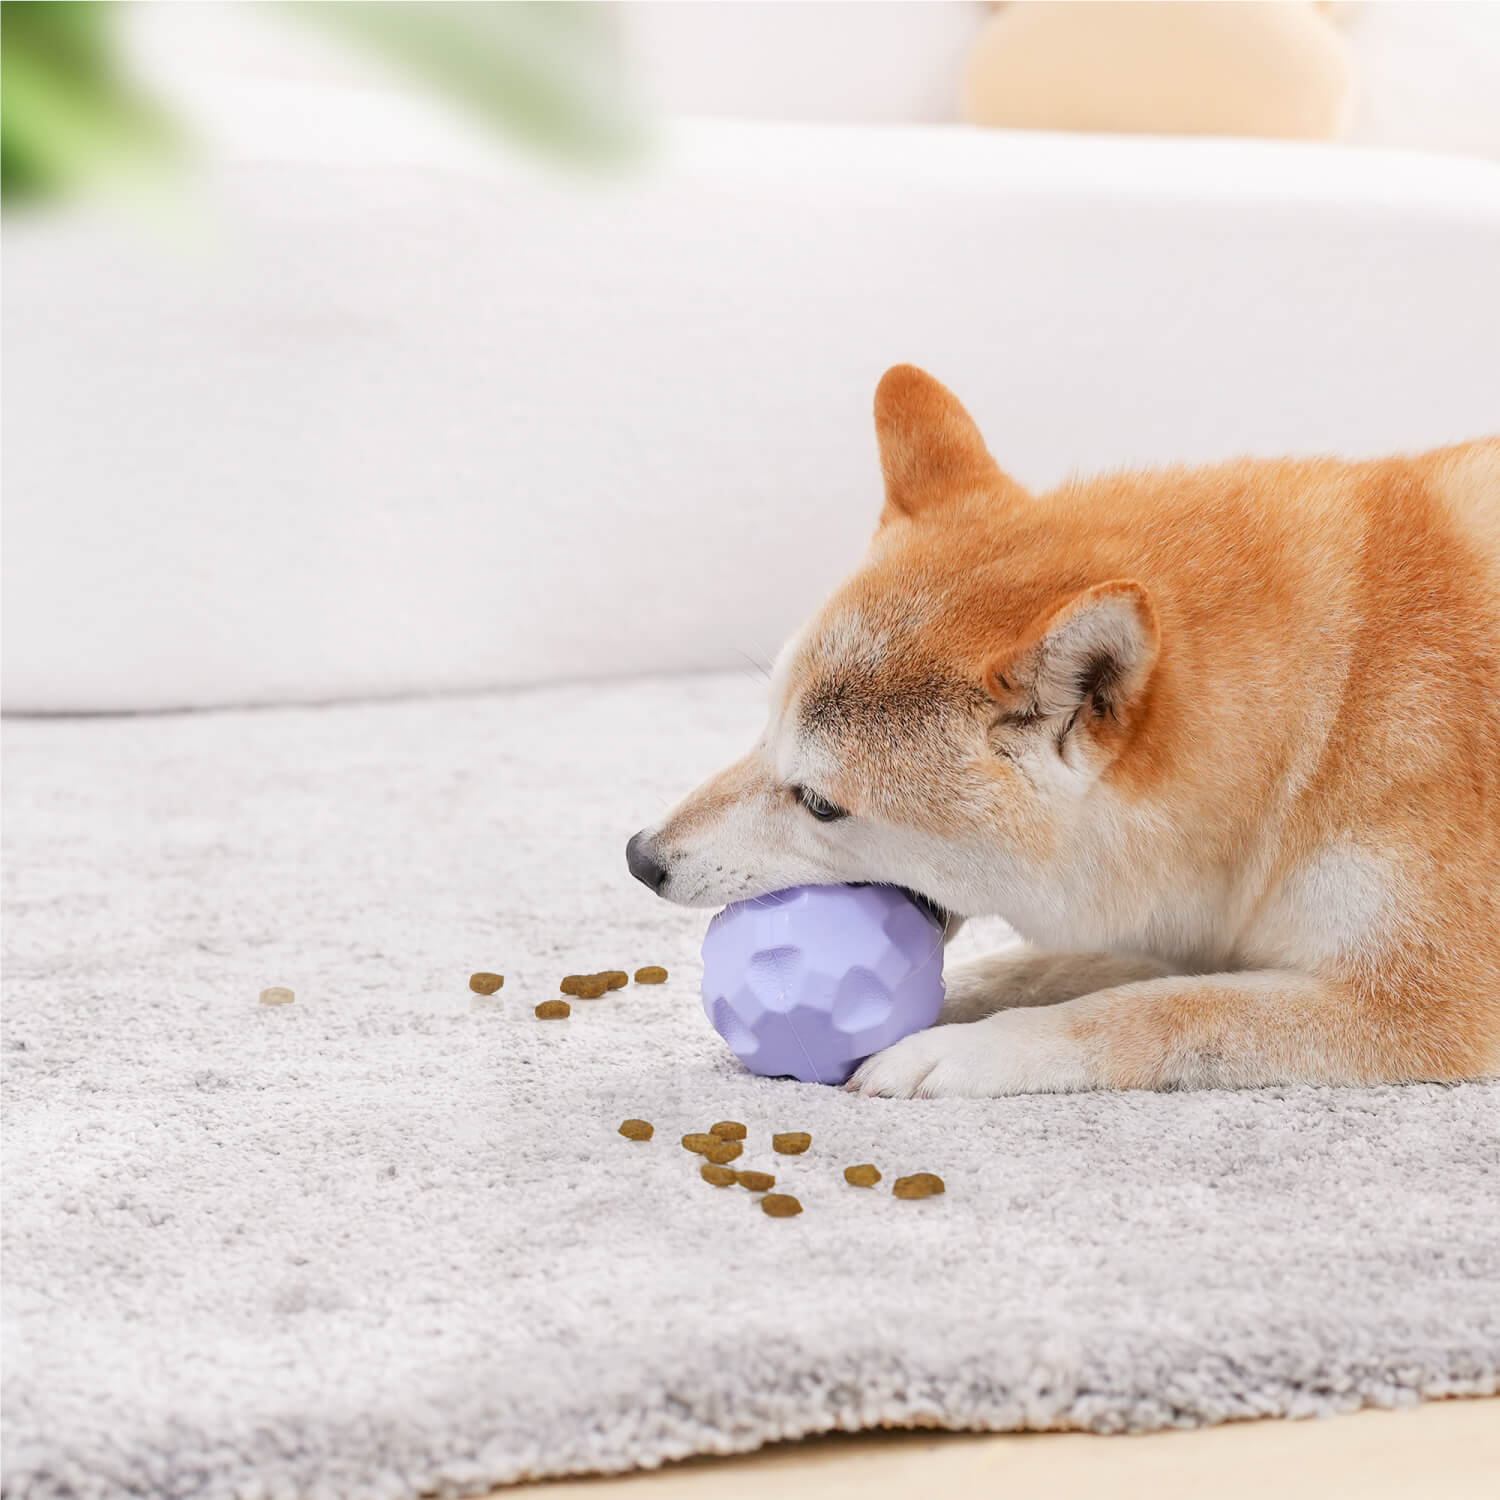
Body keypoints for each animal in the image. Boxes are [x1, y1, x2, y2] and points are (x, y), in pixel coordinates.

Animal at [624, 361, 1500, 1092]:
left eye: (820, 804)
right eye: (762, 733)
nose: (640, 858)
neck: (1328, 716)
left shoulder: (1428, 1006)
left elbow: (1159, 1010)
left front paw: (969, 1047)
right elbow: (1056, 968)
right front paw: (954, 1000)